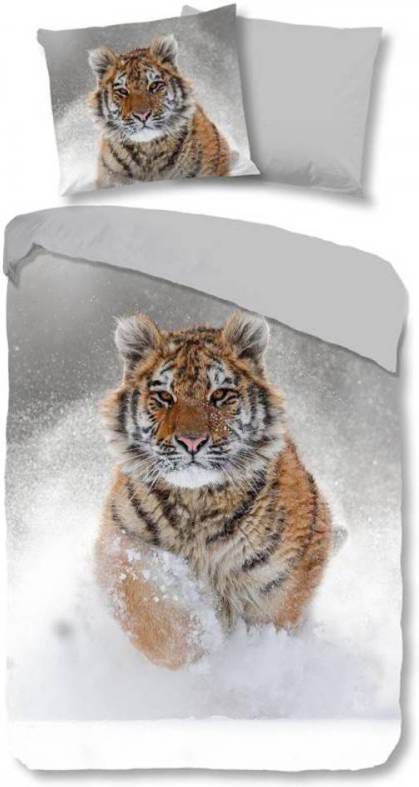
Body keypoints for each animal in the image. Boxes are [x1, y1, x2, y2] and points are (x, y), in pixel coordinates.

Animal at [96, 311, 333, 669]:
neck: (197, 503)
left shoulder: (284, 575)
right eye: (164, 397)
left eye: (220, 395)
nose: (191, 441)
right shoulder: (120, 541)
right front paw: (200, 643)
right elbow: (148, 608)